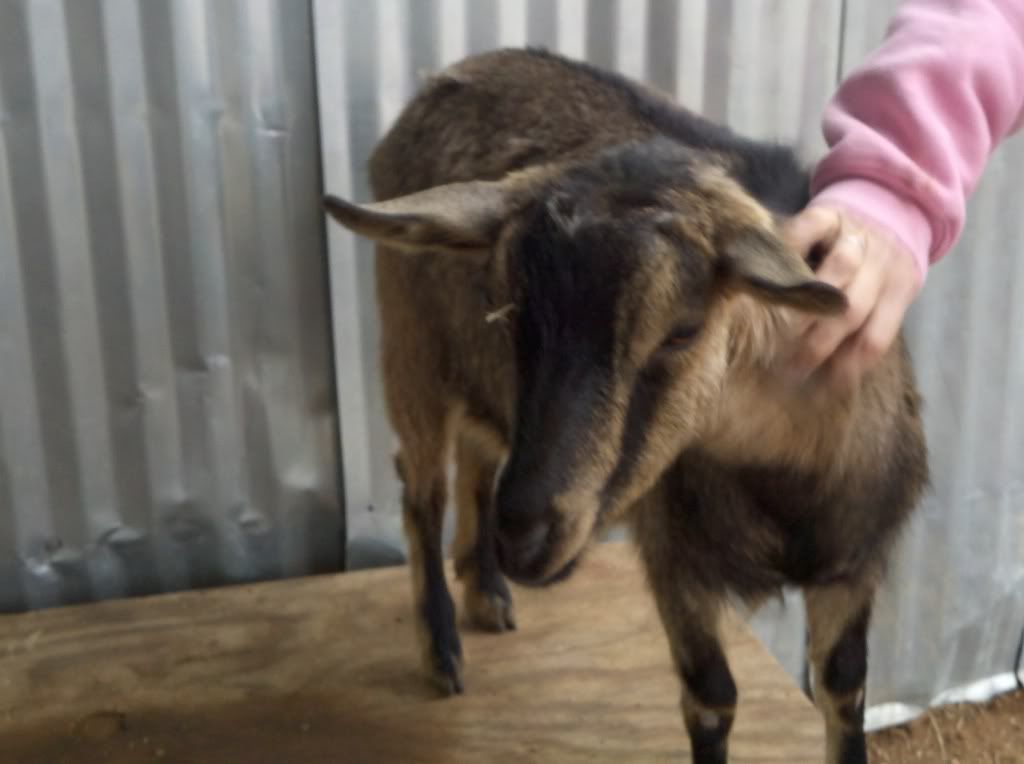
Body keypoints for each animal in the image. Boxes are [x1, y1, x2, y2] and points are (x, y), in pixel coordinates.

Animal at [324, 48, 928, 764]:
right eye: (507, 308)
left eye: (684, 328)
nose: (523, 535)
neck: (779, 469)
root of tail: (449, 77)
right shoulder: (674, 559)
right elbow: (712, 695)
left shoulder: (853, 563)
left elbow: (844, 687)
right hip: (412, 344)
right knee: (421, 487)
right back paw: (443, 648)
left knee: (475, 455)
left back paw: (487, 589)